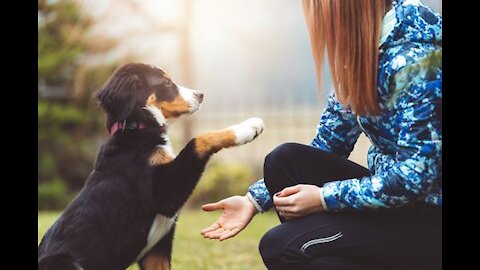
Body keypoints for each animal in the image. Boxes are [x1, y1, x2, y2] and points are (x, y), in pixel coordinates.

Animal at [39, 62, 264, 270]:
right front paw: (247, 128)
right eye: (166, 82)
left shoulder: (156, 251)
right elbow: (198, 140)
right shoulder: (165, 194)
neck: (136, 128)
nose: (200, 95)